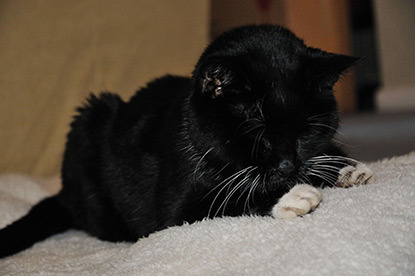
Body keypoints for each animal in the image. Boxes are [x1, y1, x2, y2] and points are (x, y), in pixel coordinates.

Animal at [0, 24, 374, 258]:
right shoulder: (177, 201)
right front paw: (293, 196)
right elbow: (222, 203)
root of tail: (64, 192)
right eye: (260, 135)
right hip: (89, 118)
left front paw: (346, 168)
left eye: (305, 133)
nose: (287, 166)